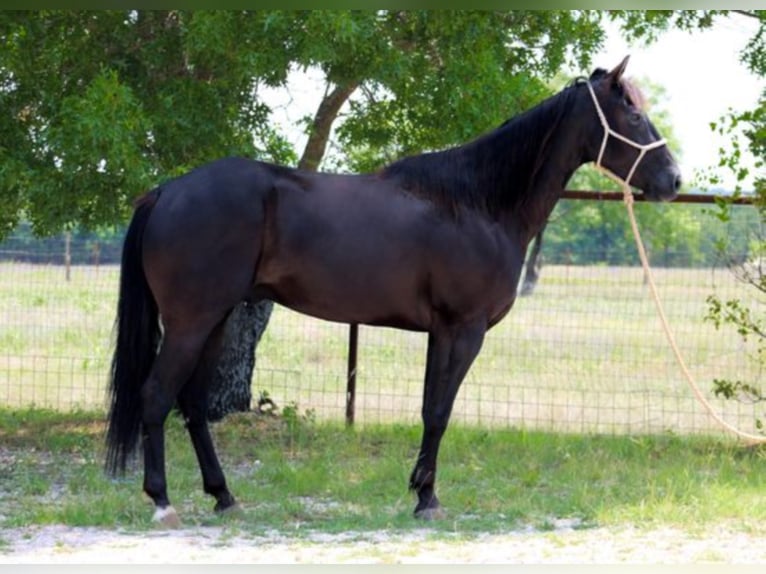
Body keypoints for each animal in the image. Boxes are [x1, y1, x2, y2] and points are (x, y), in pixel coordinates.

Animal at [103, 57, 684, 528]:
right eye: (632, 115)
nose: (674, 181)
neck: (478, 203)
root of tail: (167, 191)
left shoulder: (439, 332)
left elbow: (430, 408)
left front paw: (420, 492)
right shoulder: (464, 329)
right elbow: (440, 412)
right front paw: (428, 499)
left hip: (216, 320)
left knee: (192, 404)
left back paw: (224, 496)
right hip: (191, 321)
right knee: (156, 396)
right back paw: (163, 502)